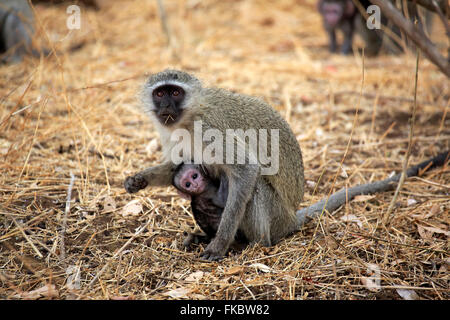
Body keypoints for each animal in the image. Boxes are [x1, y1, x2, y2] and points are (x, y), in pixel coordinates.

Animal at [125, 69, 304, 260]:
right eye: (159, 94)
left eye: (175, 92)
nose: (166, 106)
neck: (189, 118)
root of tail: (292, 220)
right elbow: (177, 166)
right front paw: (138, 179)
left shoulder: (208, 127)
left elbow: (246, 167)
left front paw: (219, 244)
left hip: (278, 219)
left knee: (256, 186)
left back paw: (256, 244)